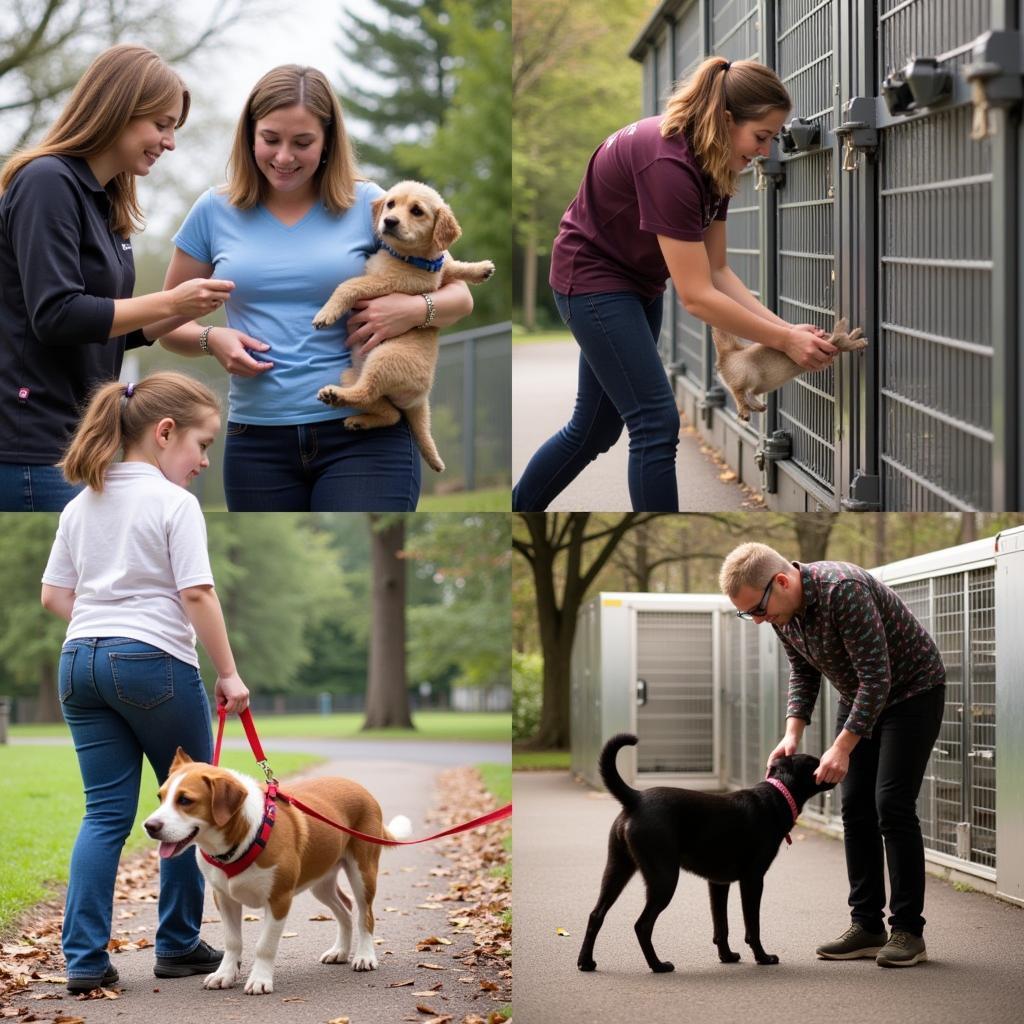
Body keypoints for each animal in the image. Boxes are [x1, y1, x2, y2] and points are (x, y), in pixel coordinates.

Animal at [144, 753, 407, 991]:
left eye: (185, 800)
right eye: (160, 797)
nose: (149, 826)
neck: (244, 836)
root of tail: (359, 787)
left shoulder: (279, 899)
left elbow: (265, 946)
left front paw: (260, 979)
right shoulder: (224, 898)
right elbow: (232, 941)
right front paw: (225, 974)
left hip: (363, 874)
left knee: (365, 915)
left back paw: (365, 956)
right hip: (321, 882)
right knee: (345, 908)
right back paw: (340, 951)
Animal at [311, 180, 495, 471]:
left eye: (417, 211)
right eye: (390, 204)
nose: (389, 221)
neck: (411, 259)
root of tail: (420, 399)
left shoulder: (380, 284)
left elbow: (347, 285)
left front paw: (325, 314)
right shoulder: (437, 273)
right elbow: (451, 264)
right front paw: (480, 269)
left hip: (383, 358)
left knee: (367, 395)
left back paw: (336, 397)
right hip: (351, 373)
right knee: (391, 413)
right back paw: (358, 419)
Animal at [573, 733, 835, 970]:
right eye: (815, 762)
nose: (832, 764)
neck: (777, 795)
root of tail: (635, 798)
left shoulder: (718, 883)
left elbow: (721, 926)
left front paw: (727, 956)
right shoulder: (752, 880)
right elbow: (752, 926)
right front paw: (763, 957)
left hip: (618, 868)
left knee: (596, 915)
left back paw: (586, 962)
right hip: (663, 878)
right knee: (642, 925)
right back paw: (658, 965)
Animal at [712, 315, 872, 419]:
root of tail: (727, 355)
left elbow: (845, 338)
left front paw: (856, 332)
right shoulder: (834, 343)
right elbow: (844, 341)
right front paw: (859, 340)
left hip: (756, 384)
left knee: (749, 394)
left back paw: (759, 407)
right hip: (744, 376)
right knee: (738, 394)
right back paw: (744, 412)